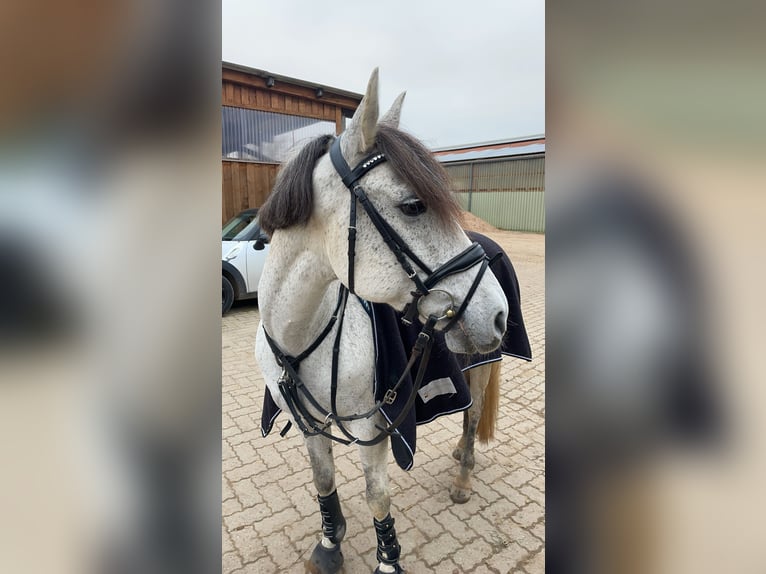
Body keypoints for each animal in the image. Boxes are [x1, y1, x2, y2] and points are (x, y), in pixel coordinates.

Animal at [255, 68, 514, 574]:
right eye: (413, 206)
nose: (497, 314)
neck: (302, 334)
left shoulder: (372, 428)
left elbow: (377, 497)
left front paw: (388, 561)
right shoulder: (309, 424)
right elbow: (322, 480)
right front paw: (330, 542)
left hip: (483, 364)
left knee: (473, 415)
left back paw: (463, 477)